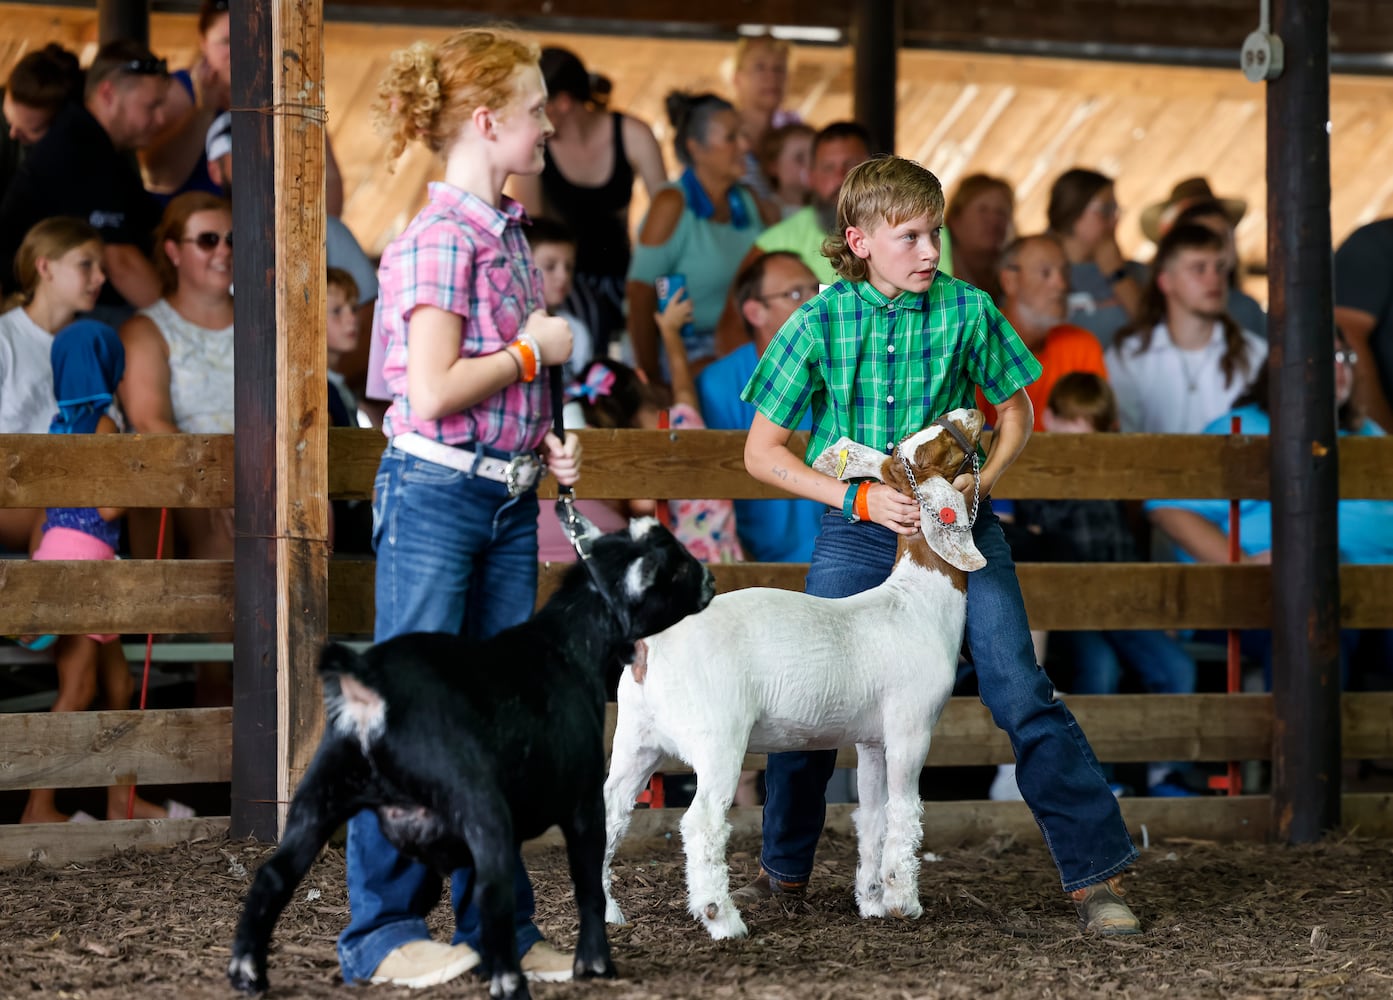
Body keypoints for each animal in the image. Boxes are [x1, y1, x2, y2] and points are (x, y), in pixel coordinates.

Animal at [228, 520, 718, 997]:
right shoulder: (583, 803)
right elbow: (588, 887)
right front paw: (595, 964)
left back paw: (248, 973)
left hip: (320, 793)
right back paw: (509, 981)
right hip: (480, 806)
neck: (566, 644)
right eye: (676, 564)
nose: (711, 579)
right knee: (491, 892)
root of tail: (369, 686)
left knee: (272, 877)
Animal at [604, 406, 986, 941]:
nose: (970, 412)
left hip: (636, 735)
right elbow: (904, 813)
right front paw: (902, 901)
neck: (914, 602)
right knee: (701, 823)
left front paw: (871, 900)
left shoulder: (871, 740)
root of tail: (652, 645)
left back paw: (607, 911)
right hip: (718, 738)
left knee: (610, 809)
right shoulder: (910, 729)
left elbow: (872, 817)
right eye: (936, 450)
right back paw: (722, 919)